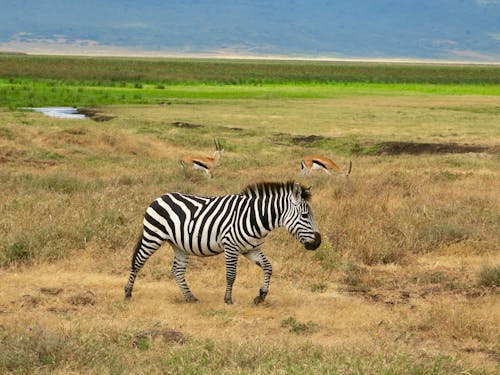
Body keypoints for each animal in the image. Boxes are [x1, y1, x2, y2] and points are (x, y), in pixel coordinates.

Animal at [124, 181, 320, 306]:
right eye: (305, 216)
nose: (318, 242)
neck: (255, 217)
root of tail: (159, 197)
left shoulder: (252, 249)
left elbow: (268, 267)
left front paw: (261, 296)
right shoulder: (231, 247)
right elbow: (231, 275)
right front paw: (228, 299)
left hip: (179, 245)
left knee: (177, 271)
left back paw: (190, 297)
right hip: (152, 236)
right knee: (138, 262)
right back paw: (127, 293)